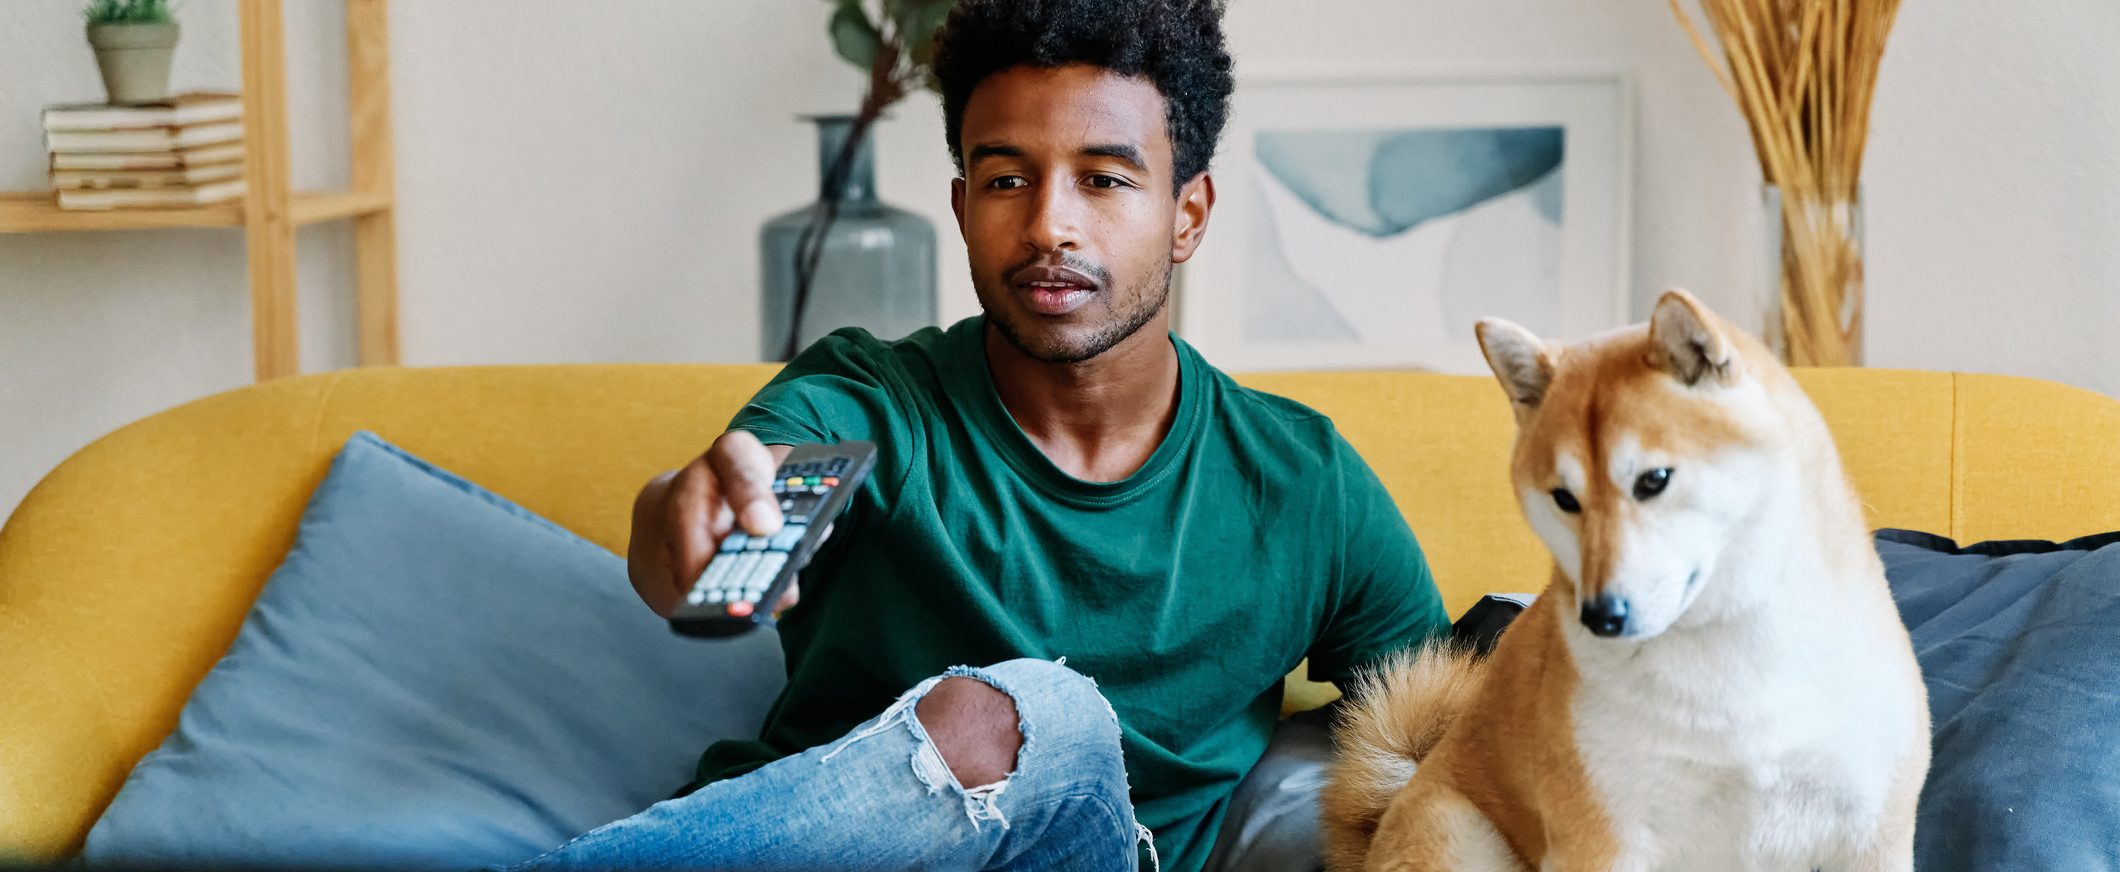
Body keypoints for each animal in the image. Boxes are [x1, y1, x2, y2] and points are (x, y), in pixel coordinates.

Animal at [1322, 290, 1941, 869]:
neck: (1730, 663)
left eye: (1654, 480)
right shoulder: (1601, 839)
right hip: (1453, 832)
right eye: (1564, 498)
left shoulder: (1872, 832)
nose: (1601, 615)